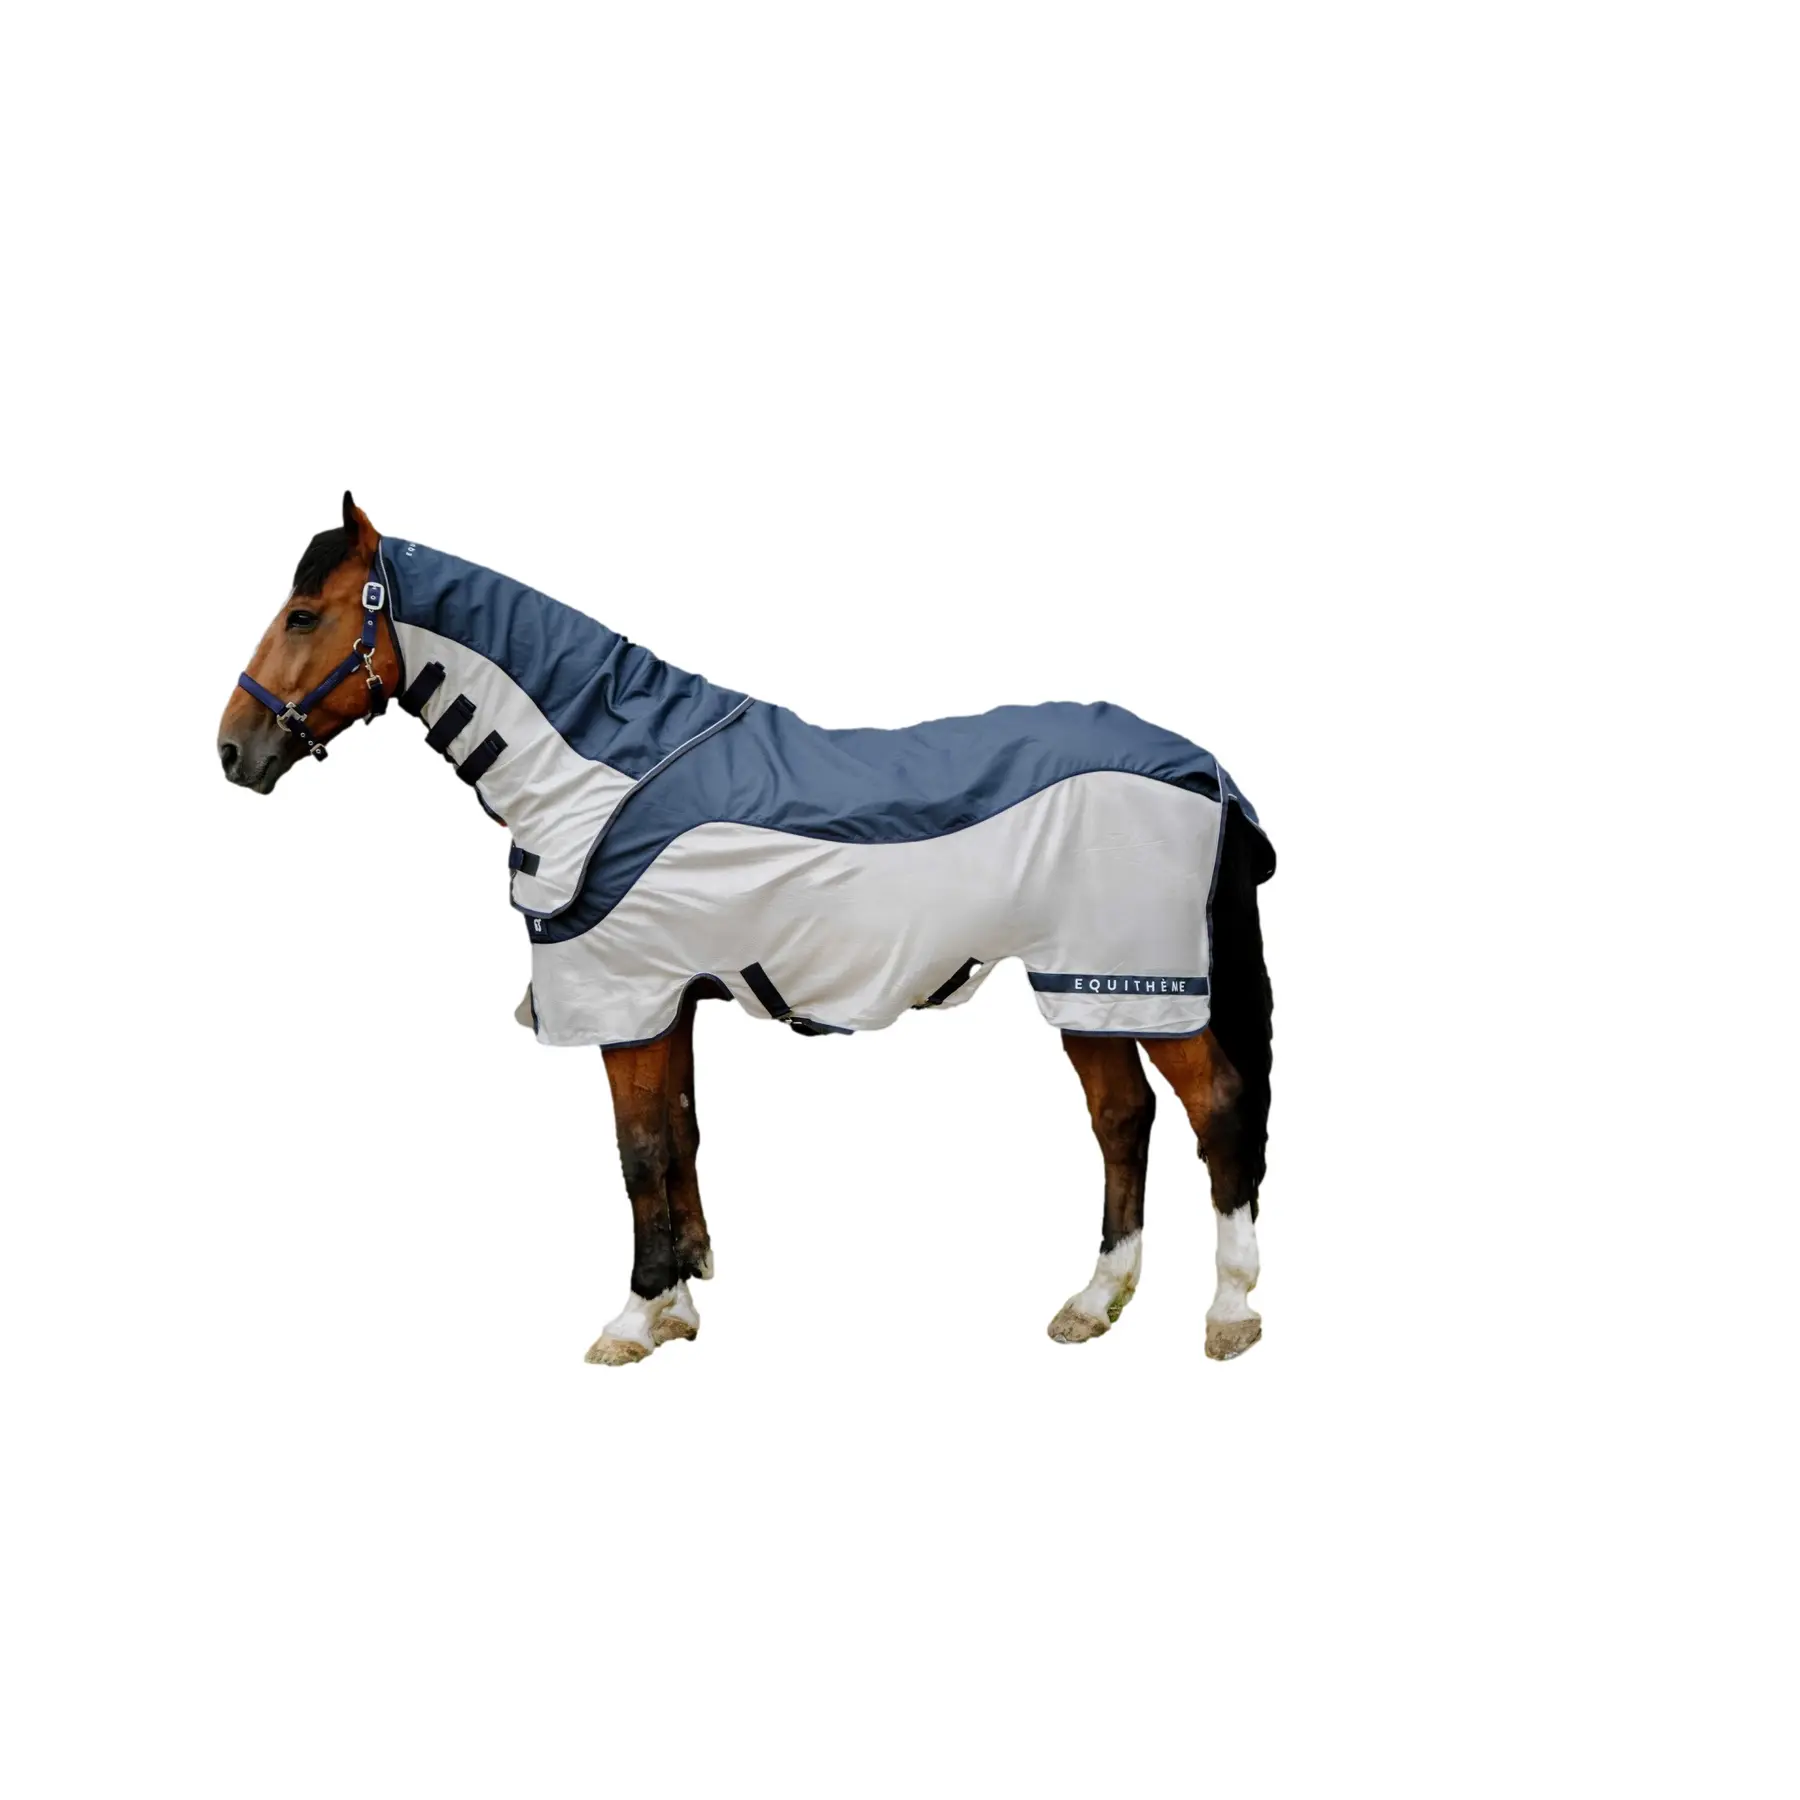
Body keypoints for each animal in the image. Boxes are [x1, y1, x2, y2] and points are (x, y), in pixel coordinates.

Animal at [218, 494, 1276, 1365]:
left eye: (304, 615)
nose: (233, 750)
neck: (604, 772)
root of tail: (1202, 768)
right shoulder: (668, 1001)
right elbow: (681, 1135)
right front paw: (681, 1304)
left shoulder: (626, 1001)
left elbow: (640, 1151)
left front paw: (634, 1316)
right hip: (1084, 986)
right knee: (1121, 1119)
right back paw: (1095, 1302)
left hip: (1140, 979)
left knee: (1217, 1110)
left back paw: (1230, 1312)